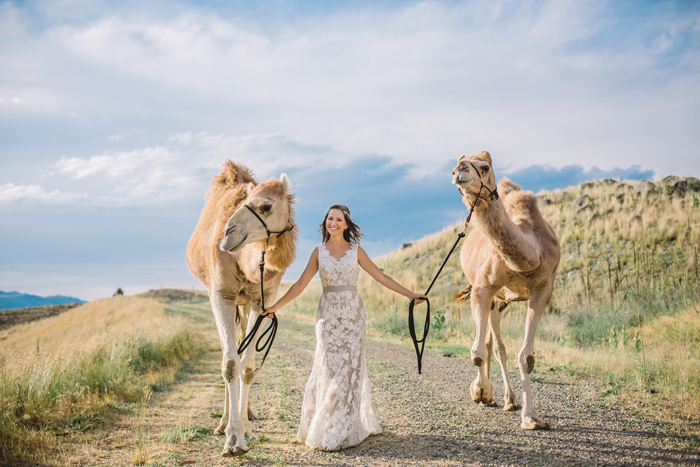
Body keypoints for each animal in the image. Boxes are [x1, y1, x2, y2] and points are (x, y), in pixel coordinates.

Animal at [185, 161, 296, 458]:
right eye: (244, 202)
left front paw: (245, 429)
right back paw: (223, 423)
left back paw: (248, 414)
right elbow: (230, 363)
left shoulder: (261, 300)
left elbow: (246, 366)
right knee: (230, 351)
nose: (228, 233)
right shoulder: (221, 294)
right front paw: (233, 438)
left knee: (242, 346)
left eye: (266, 206)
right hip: (223, 299)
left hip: (245, 306)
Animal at [452, 151, 560, 432]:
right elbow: (477, 353)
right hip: (492, 298)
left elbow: (527, 357)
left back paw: (511, 400)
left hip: (501, 302)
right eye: (454, 167)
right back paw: (497, 396)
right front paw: (481, 391)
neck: (530, 256)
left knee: (496, 345)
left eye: (484, 167)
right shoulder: (482, 287)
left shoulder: (543, 289)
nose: (459, 170)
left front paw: (531, 418)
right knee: (493, 346)